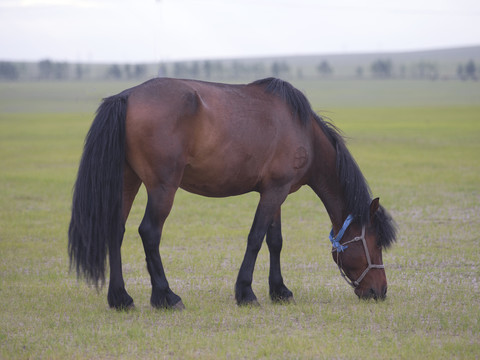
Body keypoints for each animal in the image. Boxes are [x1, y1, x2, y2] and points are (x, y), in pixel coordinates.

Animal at [68, 76, 398, 310]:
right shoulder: (273, 192)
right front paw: (246, 292)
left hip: (128, 181)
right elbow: (255, 239)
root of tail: (126, 96)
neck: (303, 130)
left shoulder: (276, 193)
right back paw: (166, 297)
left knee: (115, 231)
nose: (380, 291)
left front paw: (279, 290)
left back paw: (120, 298)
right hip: (162, 188)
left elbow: (275, 241)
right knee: (149, 232)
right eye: (374, 243)